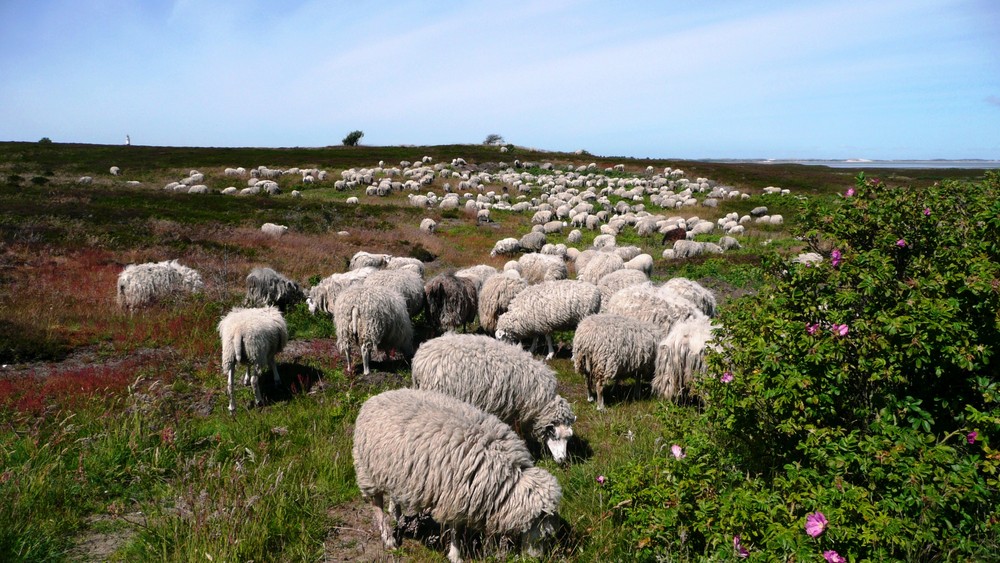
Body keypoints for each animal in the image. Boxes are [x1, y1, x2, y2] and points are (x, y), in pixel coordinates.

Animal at [354, 390, 564, 563]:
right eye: (545, 535)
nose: (537, 559)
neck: (505, 483)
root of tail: (375, 398)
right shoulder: (456, 495)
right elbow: (456, 529)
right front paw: (456, 555)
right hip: (367, 470)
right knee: (377, 504)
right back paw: (388, 538)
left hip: (394, 471)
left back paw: (397, 515)